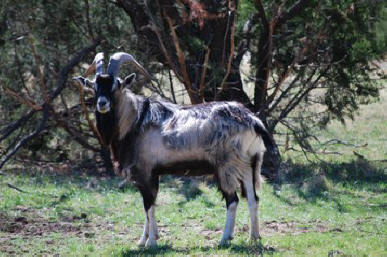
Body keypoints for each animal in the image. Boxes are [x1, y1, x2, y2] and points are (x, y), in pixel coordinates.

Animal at [74, 52, 274, 246]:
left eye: (116, 85)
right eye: (95, 86)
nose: (102, 104)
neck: (136, 120)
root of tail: (253, 121)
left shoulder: (145, 172)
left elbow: (149, 205)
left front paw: (151, 242)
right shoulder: (152, 174)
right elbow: (149, 204)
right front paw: (143, 240)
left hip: (226, 167)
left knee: (233, 200)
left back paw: (225, 239)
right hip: (248, 164)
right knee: (253, 198)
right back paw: (253, 237)